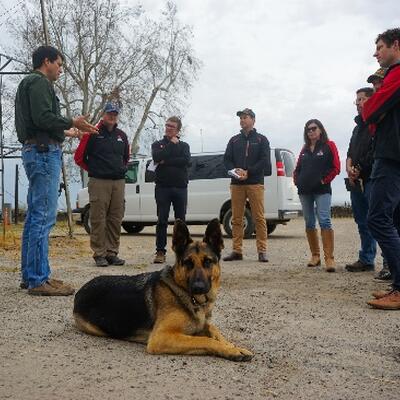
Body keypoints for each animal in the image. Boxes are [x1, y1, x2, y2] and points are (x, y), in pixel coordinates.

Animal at [73, 219, 253, 362]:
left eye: (208, 261)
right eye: (188, 262)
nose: (198, 287)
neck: (188, 297)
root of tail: (81, 289)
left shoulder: (203, 325)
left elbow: (214, 330)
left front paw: (233, 346)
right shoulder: (161, 337)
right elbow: (206, 341)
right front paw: (229, 350)